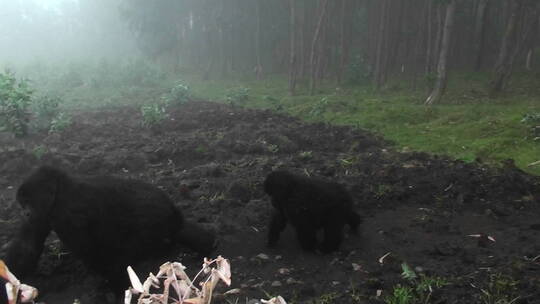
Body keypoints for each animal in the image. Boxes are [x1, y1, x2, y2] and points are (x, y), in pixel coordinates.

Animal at [4, 166, 215, 294]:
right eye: (22, 203)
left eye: (28, 202)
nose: (25, 213)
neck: (58, 191)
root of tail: (173, 212)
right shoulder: (44, 214)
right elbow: (27, 245)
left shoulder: (67, 213)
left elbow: (90, 250)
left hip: (156, 224)